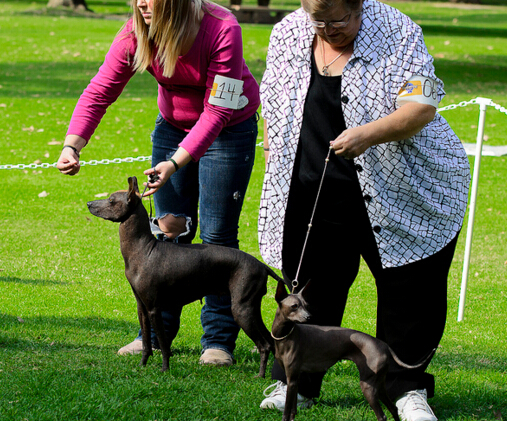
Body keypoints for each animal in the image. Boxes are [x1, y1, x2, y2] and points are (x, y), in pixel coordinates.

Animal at [87, 176, 281, 377]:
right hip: (251, 308)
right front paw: (142, 365)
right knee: (272, 342)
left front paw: (165, 369)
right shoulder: (142, 308)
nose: (88, 204)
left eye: (111, 200)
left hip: (242, 309)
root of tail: (263, 266)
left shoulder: (154, 309)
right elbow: (147, 343)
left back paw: (261, 375)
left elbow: (163, 343)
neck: (144, 248)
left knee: (265, 344)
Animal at [271, 280, 435, 421]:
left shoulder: (292, 380)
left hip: (368, 386)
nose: (309, 317)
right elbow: (292, 409)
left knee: (382, 416)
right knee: (393, 408)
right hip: (380, 385)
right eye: (294, 306)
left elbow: (286, 411)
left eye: (306, 305)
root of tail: (383, 345)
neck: (286, 336)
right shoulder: (294, 379)